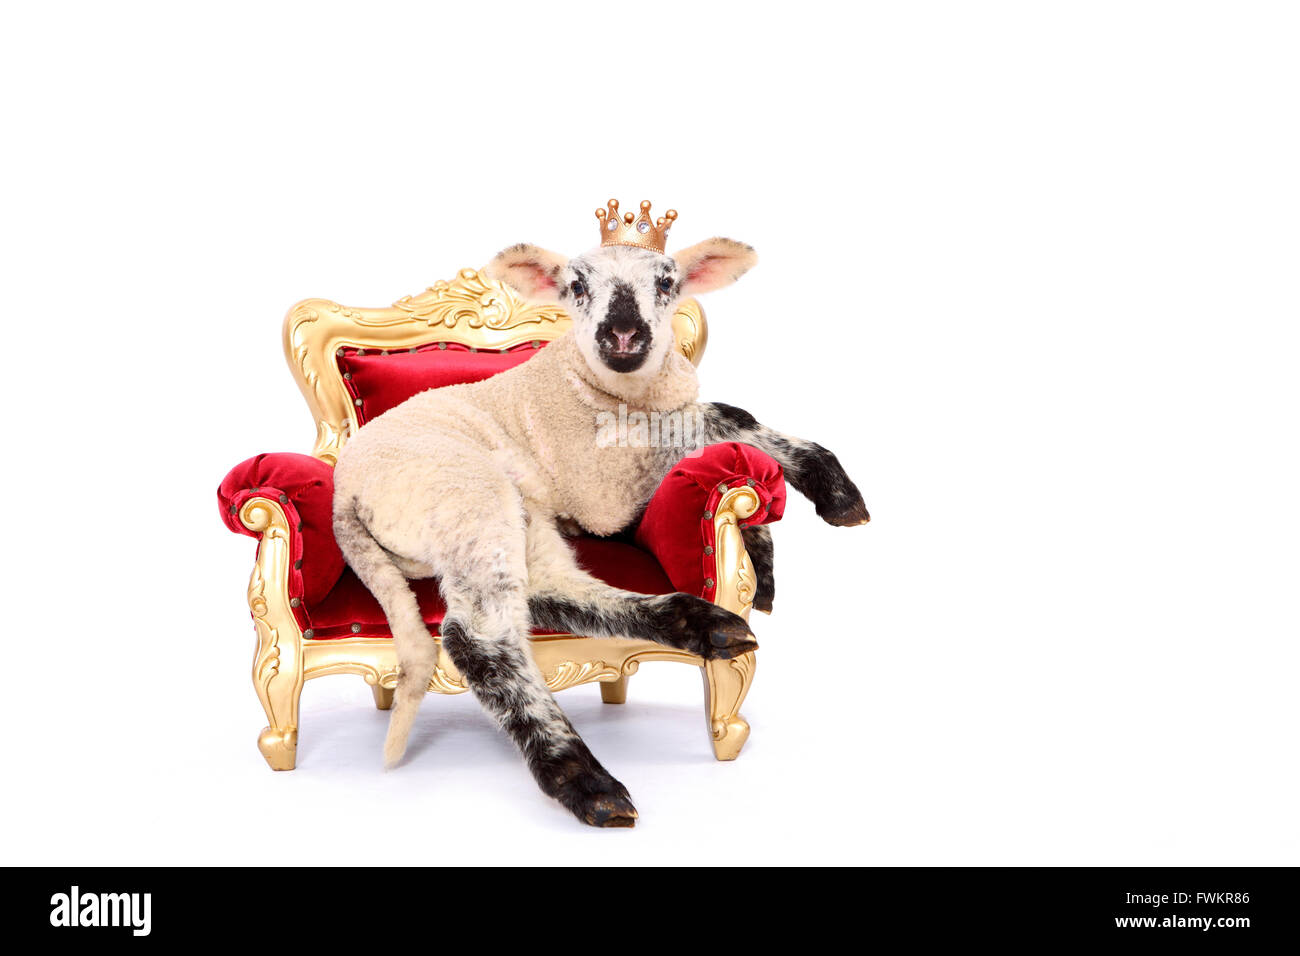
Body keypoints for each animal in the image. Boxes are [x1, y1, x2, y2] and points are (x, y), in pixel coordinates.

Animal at [331, 209, 869, 827]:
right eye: (577, 287)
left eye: (667, 282)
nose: (623, 334)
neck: (605, 392)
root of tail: (343, 494)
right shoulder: (601, 491)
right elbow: (704, 422)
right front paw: (830, 489)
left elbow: (722, 419)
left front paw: (764, 554)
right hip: (468, 495)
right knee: (478, 634)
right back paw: (582, 778)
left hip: (515, 517)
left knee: (546, 588)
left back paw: (703, 624)